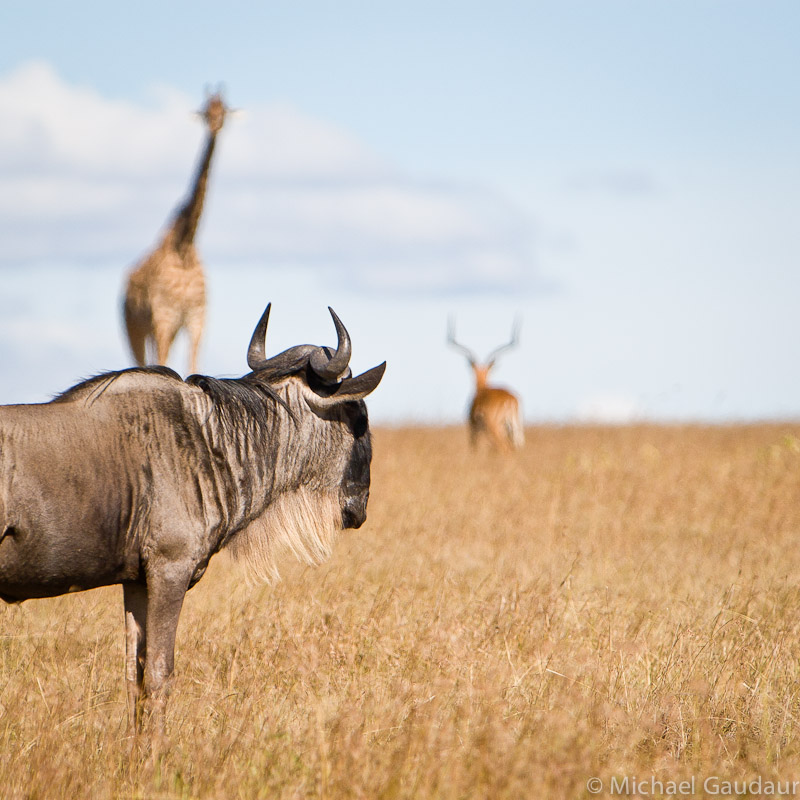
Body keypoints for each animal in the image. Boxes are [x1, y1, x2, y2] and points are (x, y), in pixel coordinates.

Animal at [122, 90, 230, 376]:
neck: (185, 247)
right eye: (206, 111)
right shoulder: (164, 315)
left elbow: (193, 366)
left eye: (224, 110)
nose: (216, 124)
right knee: (141, 363)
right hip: (135, 328)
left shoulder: (196, 317)